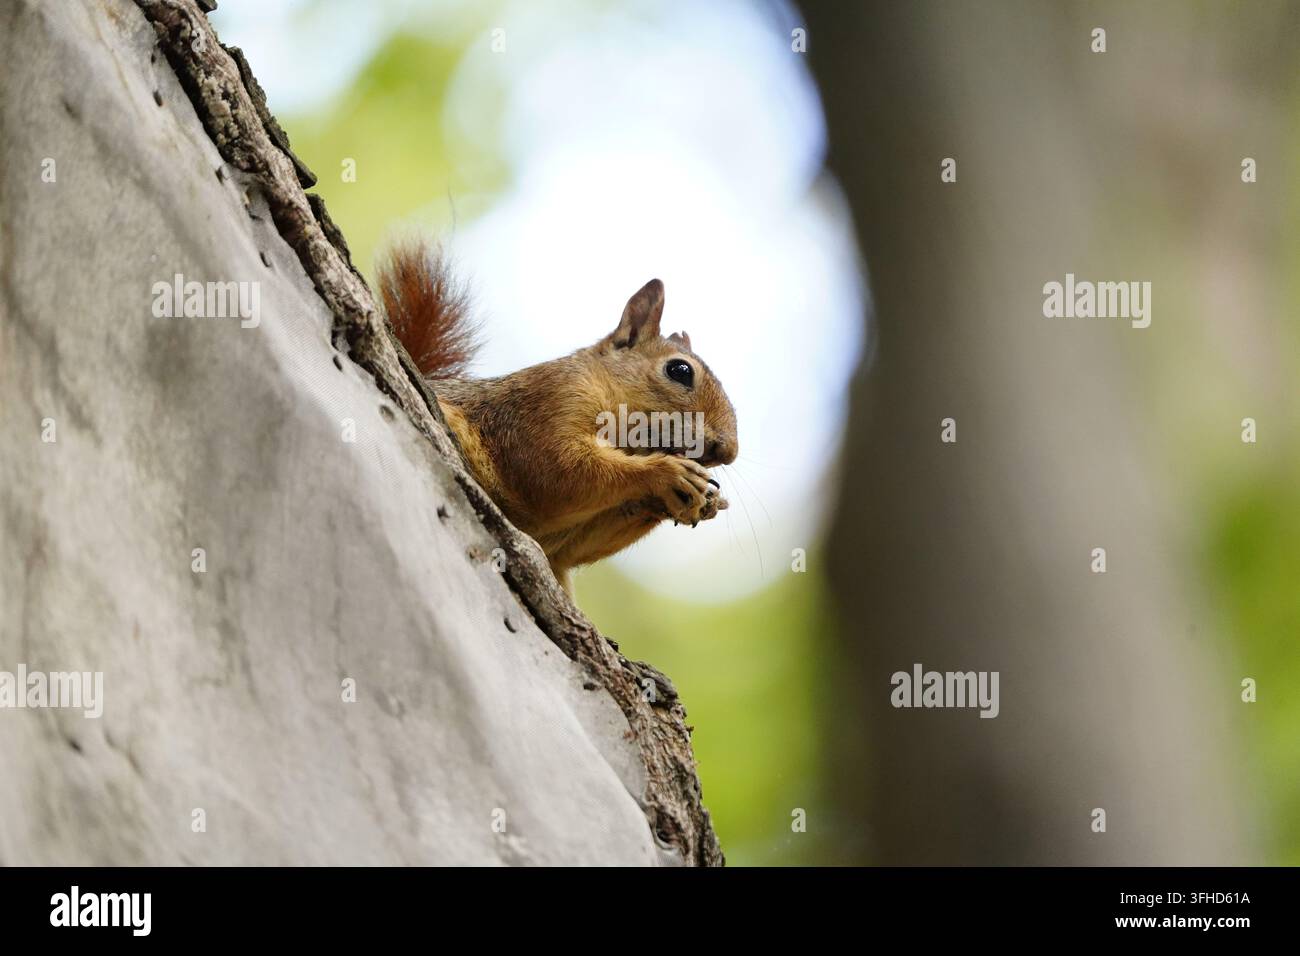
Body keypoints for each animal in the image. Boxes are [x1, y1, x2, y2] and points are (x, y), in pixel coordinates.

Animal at [376, 238, 739, 592]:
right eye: (679, 370)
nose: (728, 451)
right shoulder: (550, 402)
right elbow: (558, 470)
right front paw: (666, 473)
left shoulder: (563, 538)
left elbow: (575, 546)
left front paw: (700, 500)